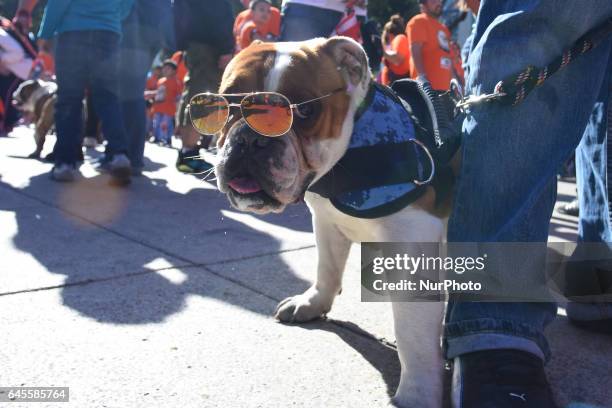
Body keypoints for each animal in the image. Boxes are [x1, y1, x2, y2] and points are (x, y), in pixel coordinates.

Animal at [213, 36, 456, 406]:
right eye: (228, 104)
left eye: (305, 111)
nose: (251, 139)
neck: (347, 157)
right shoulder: (326, 223)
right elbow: (327, 268)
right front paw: (313, 303)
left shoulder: (413, 241)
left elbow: (411, 330)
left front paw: (416, 393)